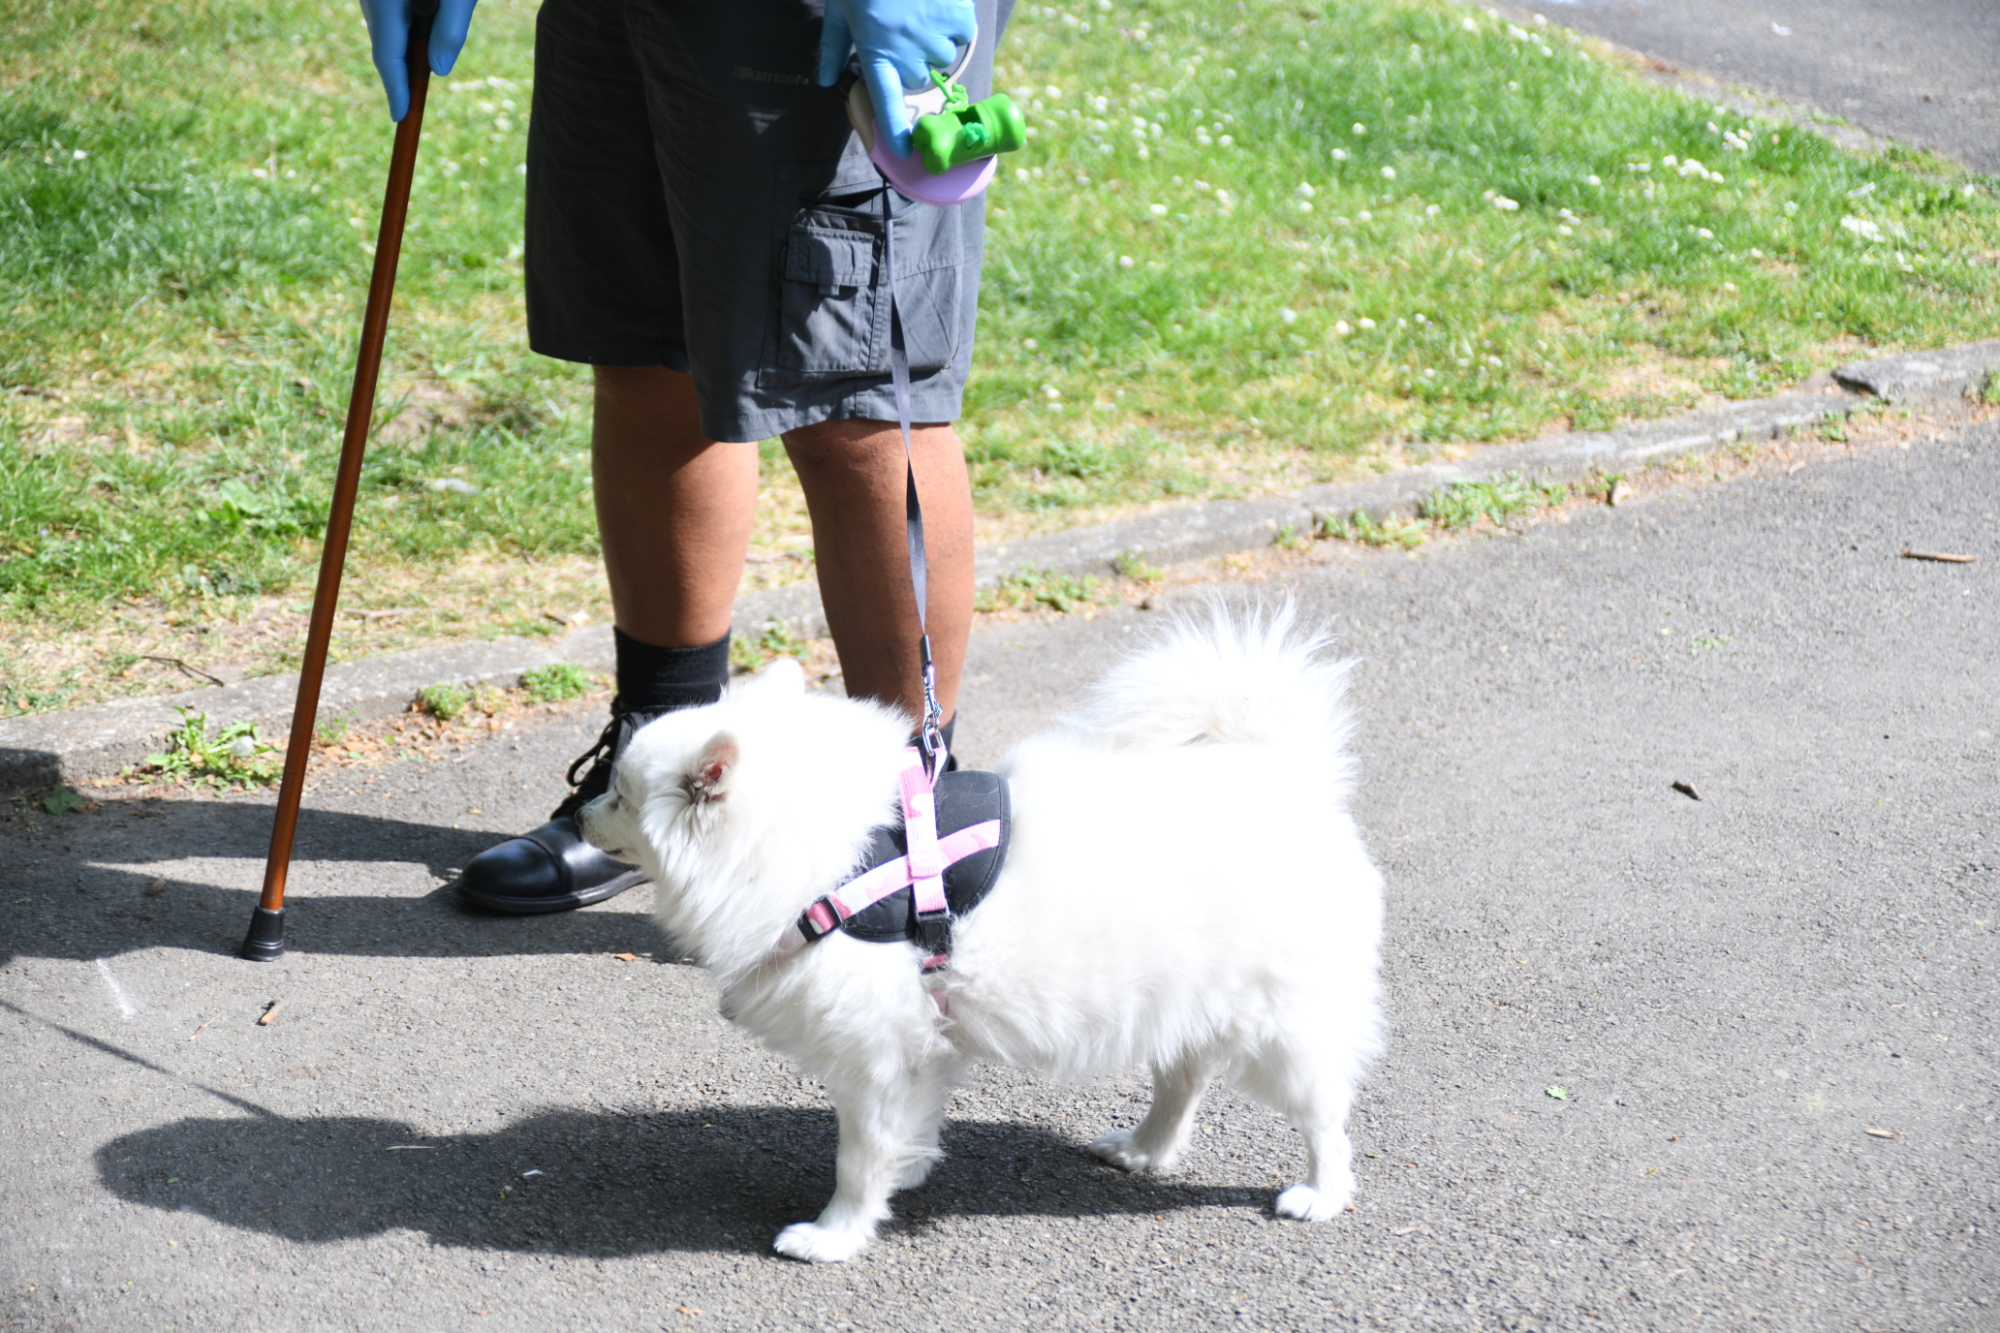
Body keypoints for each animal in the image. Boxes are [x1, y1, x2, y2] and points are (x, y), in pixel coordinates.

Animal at [580, 600, 1384, 1256]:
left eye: (619, 795)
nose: (579, 814)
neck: (831, 858)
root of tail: (1283, 773)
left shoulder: (873, 1051)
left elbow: (857, 1156)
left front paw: (834, 1233)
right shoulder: (918, 1045)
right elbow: (906, 1128)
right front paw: (910, 1167)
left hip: (1280, 1023)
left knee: (1323, 1113)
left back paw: (1320, 1193)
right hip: (1183, 996)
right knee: (1183, 1079)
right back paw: (1145, 1148)